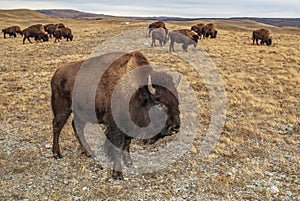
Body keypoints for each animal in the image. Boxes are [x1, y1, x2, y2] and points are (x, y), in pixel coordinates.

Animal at [50, 51, 180, 180]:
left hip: (81, 113)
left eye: (176, 102)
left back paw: (89, 152)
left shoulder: (128, 128)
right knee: (57, 127)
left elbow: (127, 145)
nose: (175, 128)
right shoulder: (116, 128)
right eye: (159, 103)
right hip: (62, 109)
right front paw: (117, 174)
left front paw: (129, 162)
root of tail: (57, 73)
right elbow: (118, 148)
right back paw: (57, 154)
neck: (135, 93)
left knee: (77, 127)